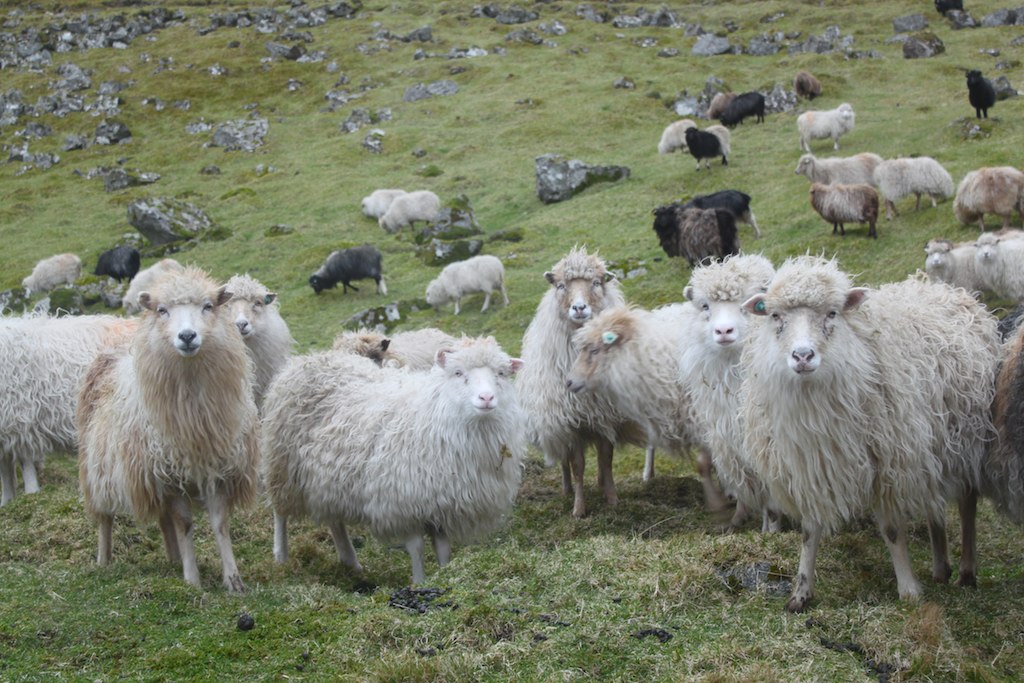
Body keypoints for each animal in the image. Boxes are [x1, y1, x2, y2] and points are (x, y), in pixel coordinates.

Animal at [77, 266, 259, 592]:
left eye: (208, 306)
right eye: (162, 310)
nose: (187, 336)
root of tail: (111, 352)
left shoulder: (217, 468)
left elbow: (220, 523)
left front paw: (233, 579)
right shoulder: (169, 474)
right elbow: (184, 523)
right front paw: (193, 581)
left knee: (164, 521)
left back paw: (173, 559)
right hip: (98, 468)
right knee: (104, 517)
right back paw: (104, 559)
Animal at [262, 336, 526, 583]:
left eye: (501, 373)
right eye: (458, 372)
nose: (486, 398)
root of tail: (308, 359)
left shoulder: (440, 503)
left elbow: (443, 548)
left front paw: (445, 575)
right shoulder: (403, 502)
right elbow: (416, 547)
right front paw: (419, 583)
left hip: (325, 476)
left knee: (334, 520)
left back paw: (350, 561)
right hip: (282, 463)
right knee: (280, 513)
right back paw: (281, 556)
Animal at [515, 246, 639, 518]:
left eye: (596, 283)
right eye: (561, 285)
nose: (579, 308)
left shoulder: (606, 415)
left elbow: (606, 459)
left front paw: (612, 498)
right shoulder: (570, 425)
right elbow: (578, 466)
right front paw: (579, 509)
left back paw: (602, 484)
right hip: (555, 424)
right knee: (563, 461)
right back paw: (566, 489)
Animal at [678, 254, 781, 532]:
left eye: (751, 303)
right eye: (705, 306)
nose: (723, 331)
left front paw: (771, 528)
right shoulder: (728, 441)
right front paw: (739, 518)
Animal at [740, 256, 999, 611]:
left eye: (832, 313)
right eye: (776, 316)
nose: (803, 356)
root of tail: (938, 287)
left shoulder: (887, 465)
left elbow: (891, 531)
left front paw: (908, 590)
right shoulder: (811, 468)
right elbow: (809, 530)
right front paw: (801, 592)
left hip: (966, 440)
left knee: (967, 504)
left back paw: (966, 572)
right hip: (929, 448)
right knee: (933, 504)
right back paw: (940, 568)